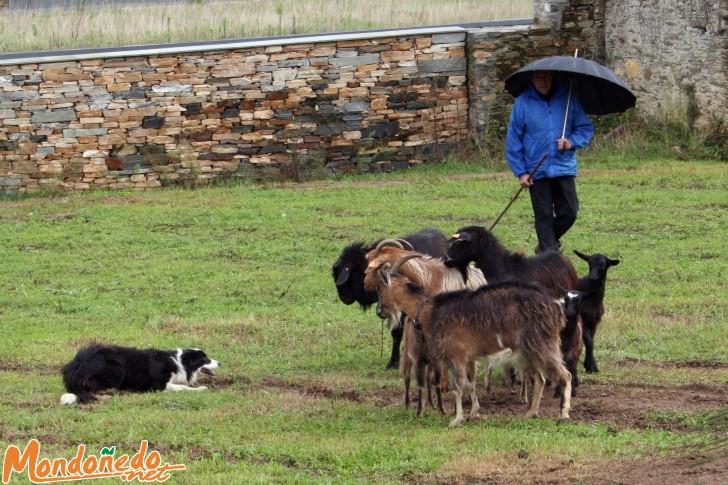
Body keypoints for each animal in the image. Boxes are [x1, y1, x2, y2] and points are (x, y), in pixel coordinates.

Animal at [378, 255, 572, 426]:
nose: (379, 311)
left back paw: (563, 415)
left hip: (543, 344)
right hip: (529, 351)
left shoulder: (457, 355)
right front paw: (473, 413)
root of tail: (556, 308)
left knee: (565, 375)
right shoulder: (468, 357)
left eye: (381, 290)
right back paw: (530, 413)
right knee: (540, 379)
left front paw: (456, 420)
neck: (428, 310)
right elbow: (470, 385)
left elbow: (457, 387)